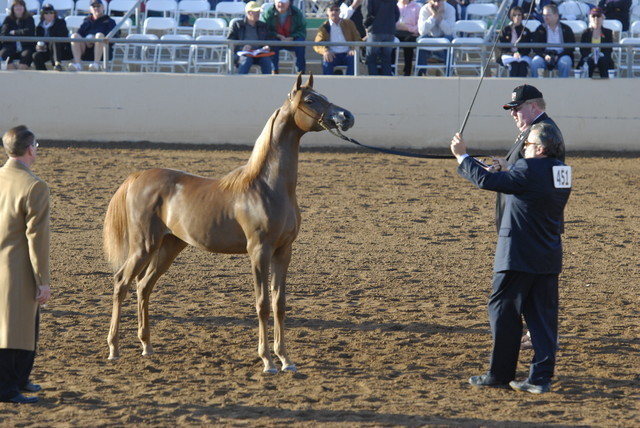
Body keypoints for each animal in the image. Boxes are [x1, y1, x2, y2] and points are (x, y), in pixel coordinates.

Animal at [103, 73, 355, 373]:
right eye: (311, 99)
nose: (346, 116)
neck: (267, 187)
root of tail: (137, 177)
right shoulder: (259, 252)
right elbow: (262, 304)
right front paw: (267, 361)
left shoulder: (284, 251)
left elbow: (279, 304)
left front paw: (285, 359)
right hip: (144, 245)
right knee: (121, 283)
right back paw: (114, 349)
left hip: (168, 247)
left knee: (143, 286)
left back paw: (147, 346)